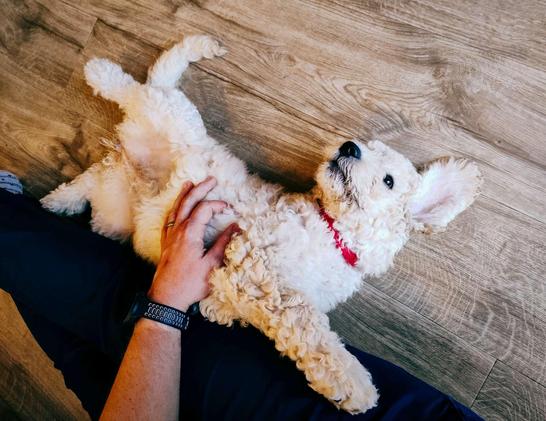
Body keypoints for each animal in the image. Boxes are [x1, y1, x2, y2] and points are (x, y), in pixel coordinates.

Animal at [40, 34, 478, 412]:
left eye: (388, 181)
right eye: (365, 147)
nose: (348, 146)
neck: (332, 232)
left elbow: (233, 307)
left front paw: (214, 308)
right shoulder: (261, 268)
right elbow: (307, 324)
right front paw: (351, 381)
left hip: (116, 208)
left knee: (96, 176)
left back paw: (57, 201)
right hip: (166, 114)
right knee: (134, 88)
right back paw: (100, 71)